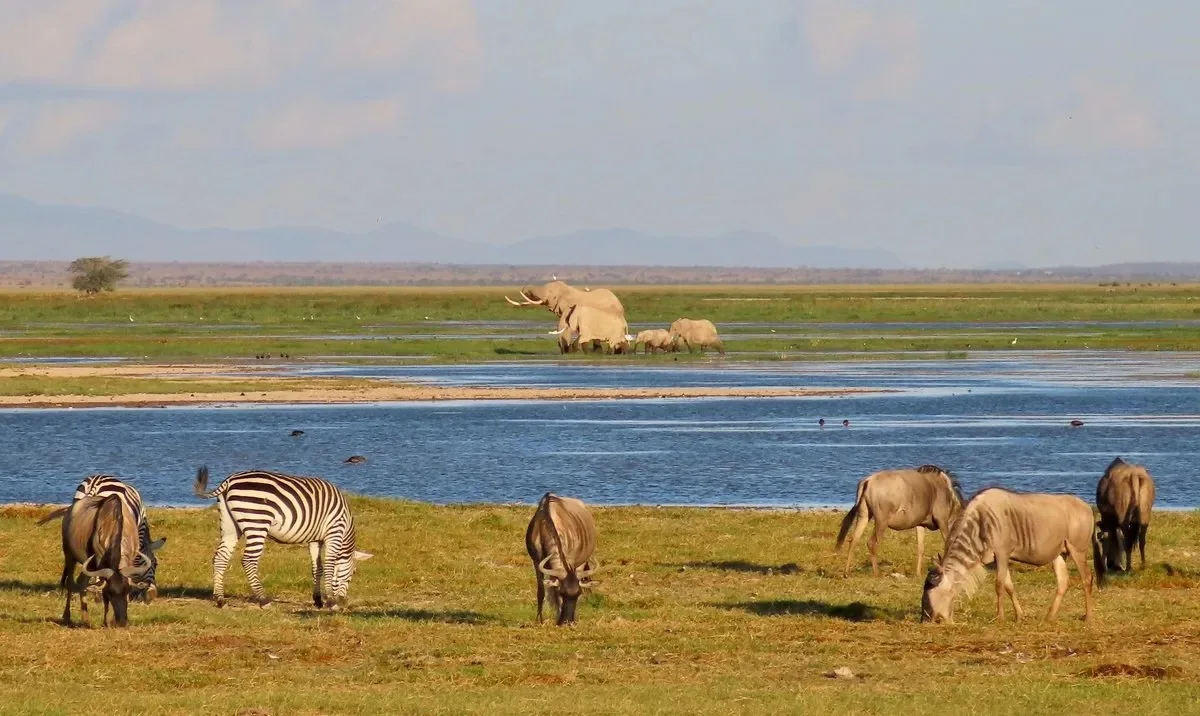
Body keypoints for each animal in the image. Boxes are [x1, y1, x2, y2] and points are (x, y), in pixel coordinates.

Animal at [193, 466, 373, 609]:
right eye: (353, 572)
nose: (343, 601)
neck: (345, 524)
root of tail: (229, 480)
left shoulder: (315, 539)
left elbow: (317, 568)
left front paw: (318, 600)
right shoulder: (333, 532)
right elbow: (328, 566)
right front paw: (330, 601)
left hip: (230, 526)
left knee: (220, 558)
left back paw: (220, 599)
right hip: (257, 522)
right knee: (249, 560)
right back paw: (263, 600)